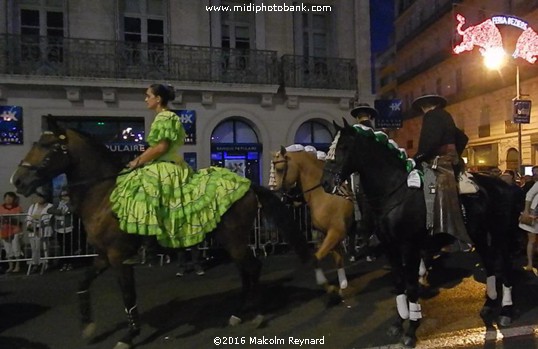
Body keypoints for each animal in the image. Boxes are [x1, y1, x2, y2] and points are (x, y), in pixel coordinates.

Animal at [9, 126, 310, 348]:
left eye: (46, 146)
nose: (18, 180)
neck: (104, 195)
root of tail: (248, 184)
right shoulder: (103, 256)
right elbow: (83, 284)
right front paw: (87, 326)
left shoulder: (119, 256)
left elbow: (128, 295)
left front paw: (129, 336)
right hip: (231, 241)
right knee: (246, 270)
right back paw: (238, 313)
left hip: (234, 240)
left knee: (253, 267)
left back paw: (255, 314)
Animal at [266, 147, 352, 290]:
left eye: (280, 169)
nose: (276, 194)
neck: (323, 193)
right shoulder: (328, 232)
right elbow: (337, 257)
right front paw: (343, 282)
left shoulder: (337, 231)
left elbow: (316, 257)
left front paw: (322, 281)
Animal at [320, 119, 512, 346]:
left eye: (344, 147)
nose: (325, 183)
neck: (396, 192)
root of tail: (502, 184)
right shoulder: (390, 248)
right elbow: (399, 284)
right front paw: (398, 322)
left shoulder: (409, 248)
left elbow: (411, 286)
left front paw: (411, 329)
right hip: (480, 236)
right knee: (491, 265)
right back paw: (489, 304)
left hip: (499, 235)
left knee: (505, 268)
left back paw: (506, 310)